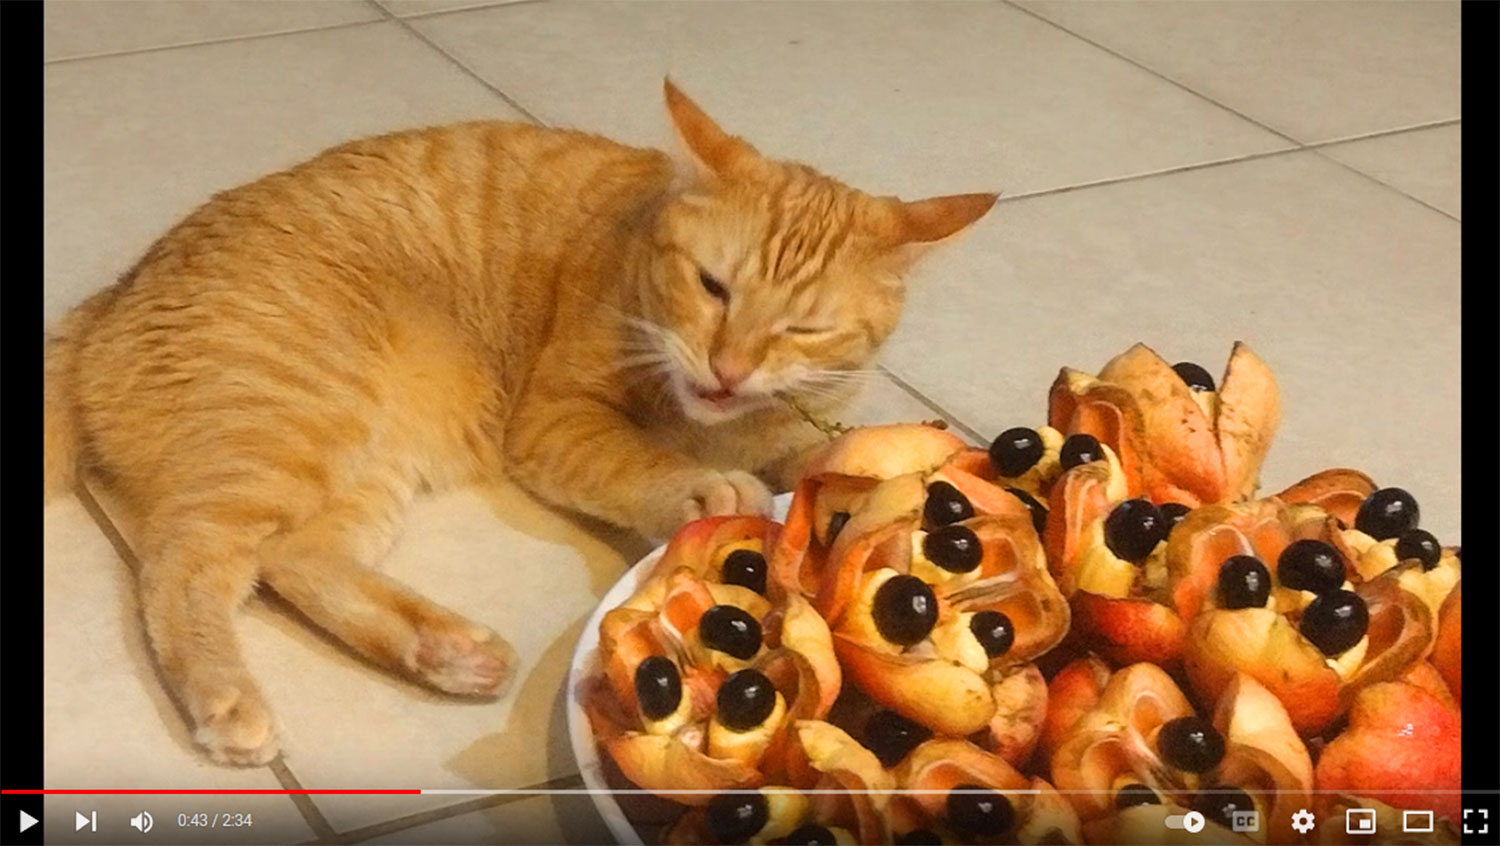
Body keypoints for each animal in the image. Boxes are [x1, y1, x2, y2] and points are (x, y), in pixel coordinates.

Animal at [41, 81, 996, 768]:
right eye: (713, 286)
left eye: (803, 328)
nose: (727, 368)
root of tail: (109, 299)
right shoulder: (556, 420)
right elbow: (639, 456)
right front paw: (704, 490)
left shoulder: (794, 424)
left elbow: (829, 451)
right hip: (295, 427)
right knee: (186, 560)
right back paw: (228, 701)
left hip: (361, 465)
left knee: (292, 559)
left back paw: (446, 651)